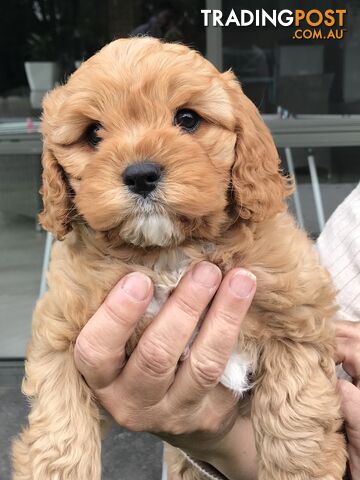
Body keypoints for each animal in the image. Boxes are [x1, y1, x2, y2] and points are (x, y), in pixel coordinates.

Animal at [13, 38, 346, 480]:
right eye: (93, 133)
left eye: (187, 119)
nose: (140, 175)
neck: (169, 252)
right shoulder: (60, 332)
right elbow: (59, 430)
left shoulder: (296, 316)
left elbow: (296, 419)